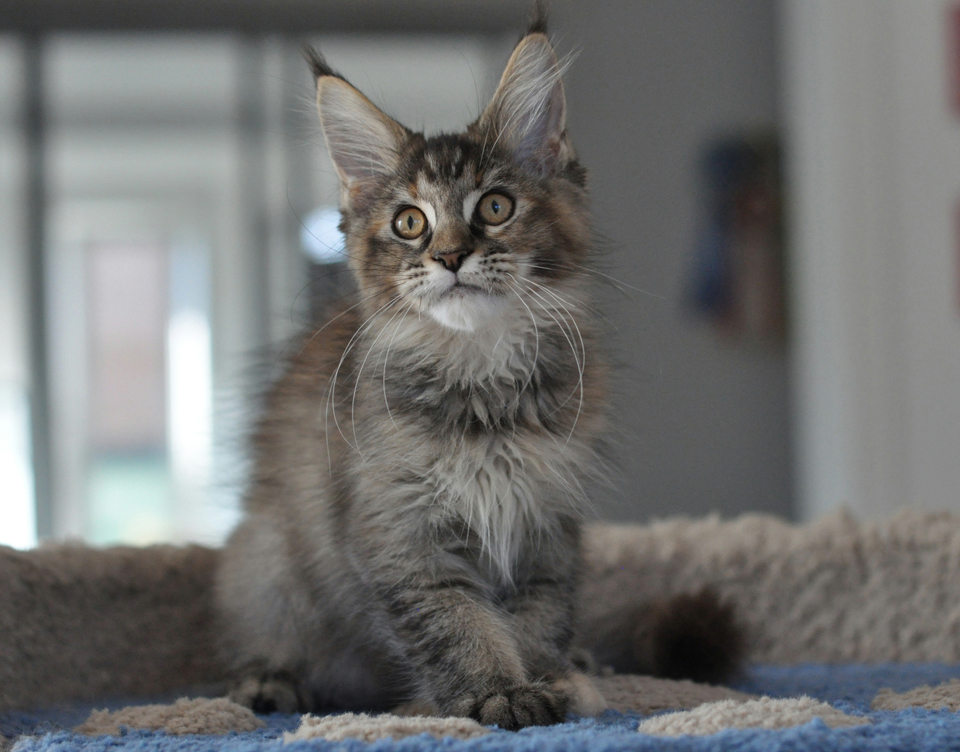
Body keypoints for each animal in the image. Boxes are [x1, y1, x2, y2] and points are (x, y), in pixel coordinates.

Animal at [216, 5, 744, 732]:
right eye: (410, 223)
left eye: (495, 207)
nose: (448, 256)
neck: (481, 379)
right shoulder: (401, 533)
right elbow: (457, 623)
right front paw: (495, 693)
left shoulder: (546, 526)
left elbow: (533, 619)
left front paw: (549, 680)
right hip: (266, 562)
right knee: (272, 636)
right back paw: (271, 681)